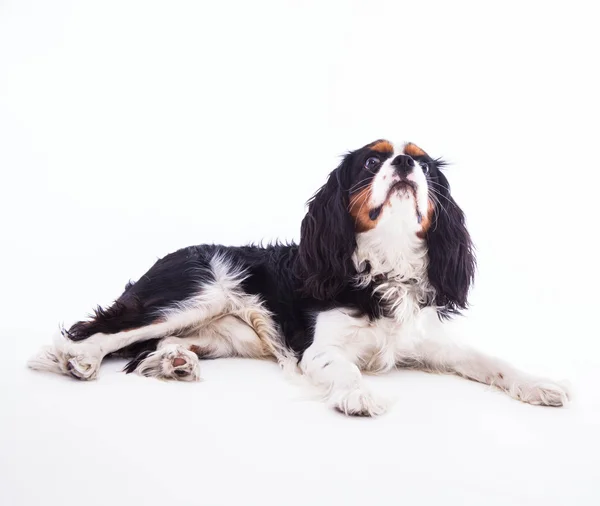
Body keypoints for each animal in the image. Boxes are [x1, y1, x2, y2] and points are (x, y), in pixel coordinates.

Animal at [29, 139, 572, 416]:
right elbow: (346, 368)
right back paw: (78, 359)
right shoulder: (320, 351)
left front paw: (540, 384)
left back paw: (176, 362)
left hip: (220, 332)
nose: (404, 163)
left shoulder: (432, 343)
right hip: (196, 292)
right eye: (372, 160)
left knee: (159, 345)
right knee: (100, 330)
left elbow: (491, 361)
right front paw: (357, 394)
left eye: (422, 164)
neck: (386, 265)